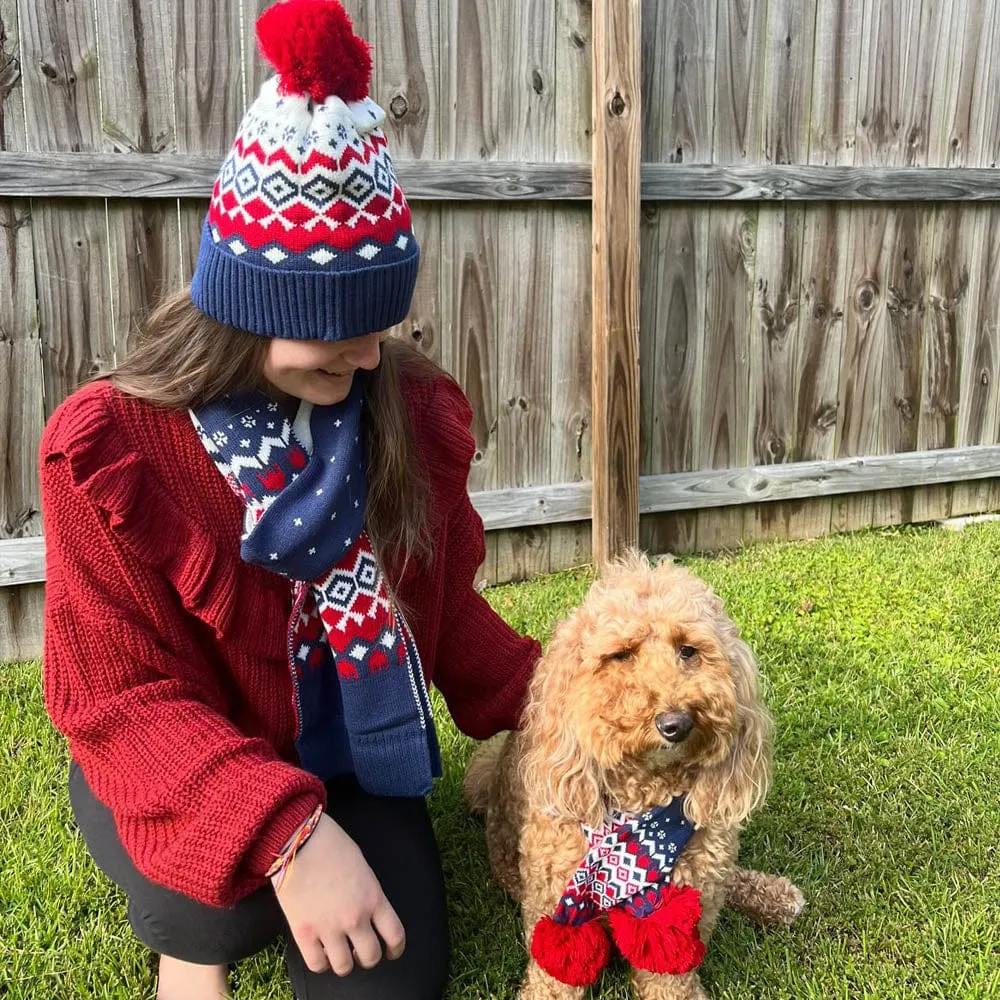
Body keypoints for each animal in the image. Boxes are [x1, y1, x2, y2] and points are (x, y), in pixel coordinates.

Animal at [464, 552, 800, 996]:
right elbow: (553, 979)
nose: (675, 723)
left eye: (688, 650)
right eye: (621, 655)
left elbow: (670, 979)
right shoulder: (554, 908)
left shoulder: (681, 917)